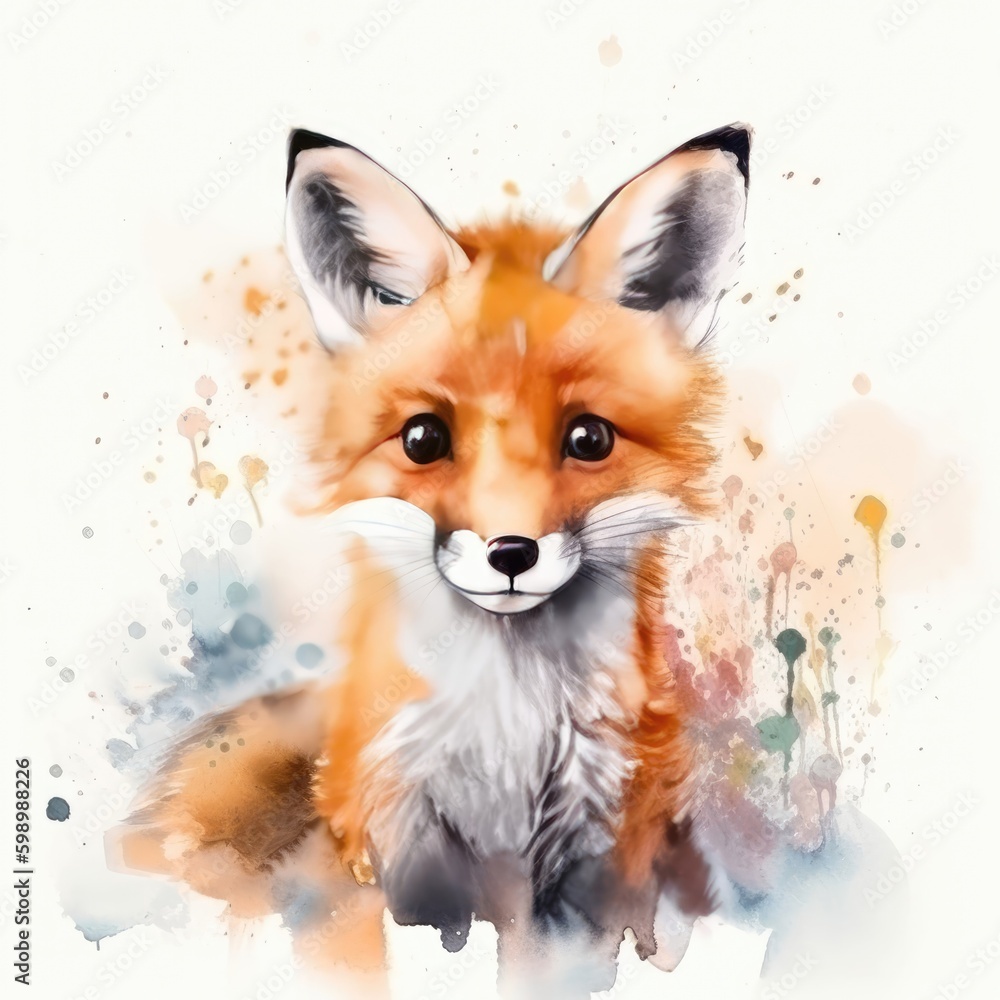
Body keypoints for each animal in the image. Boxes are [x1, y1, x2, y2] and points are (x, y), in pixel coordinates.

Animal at [110, 122, 752, 995]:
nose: (511, 552)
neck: (507, 754)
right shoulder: (389, 860)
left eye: (589, 438)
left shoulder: (588, 864)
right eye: (424, 438)